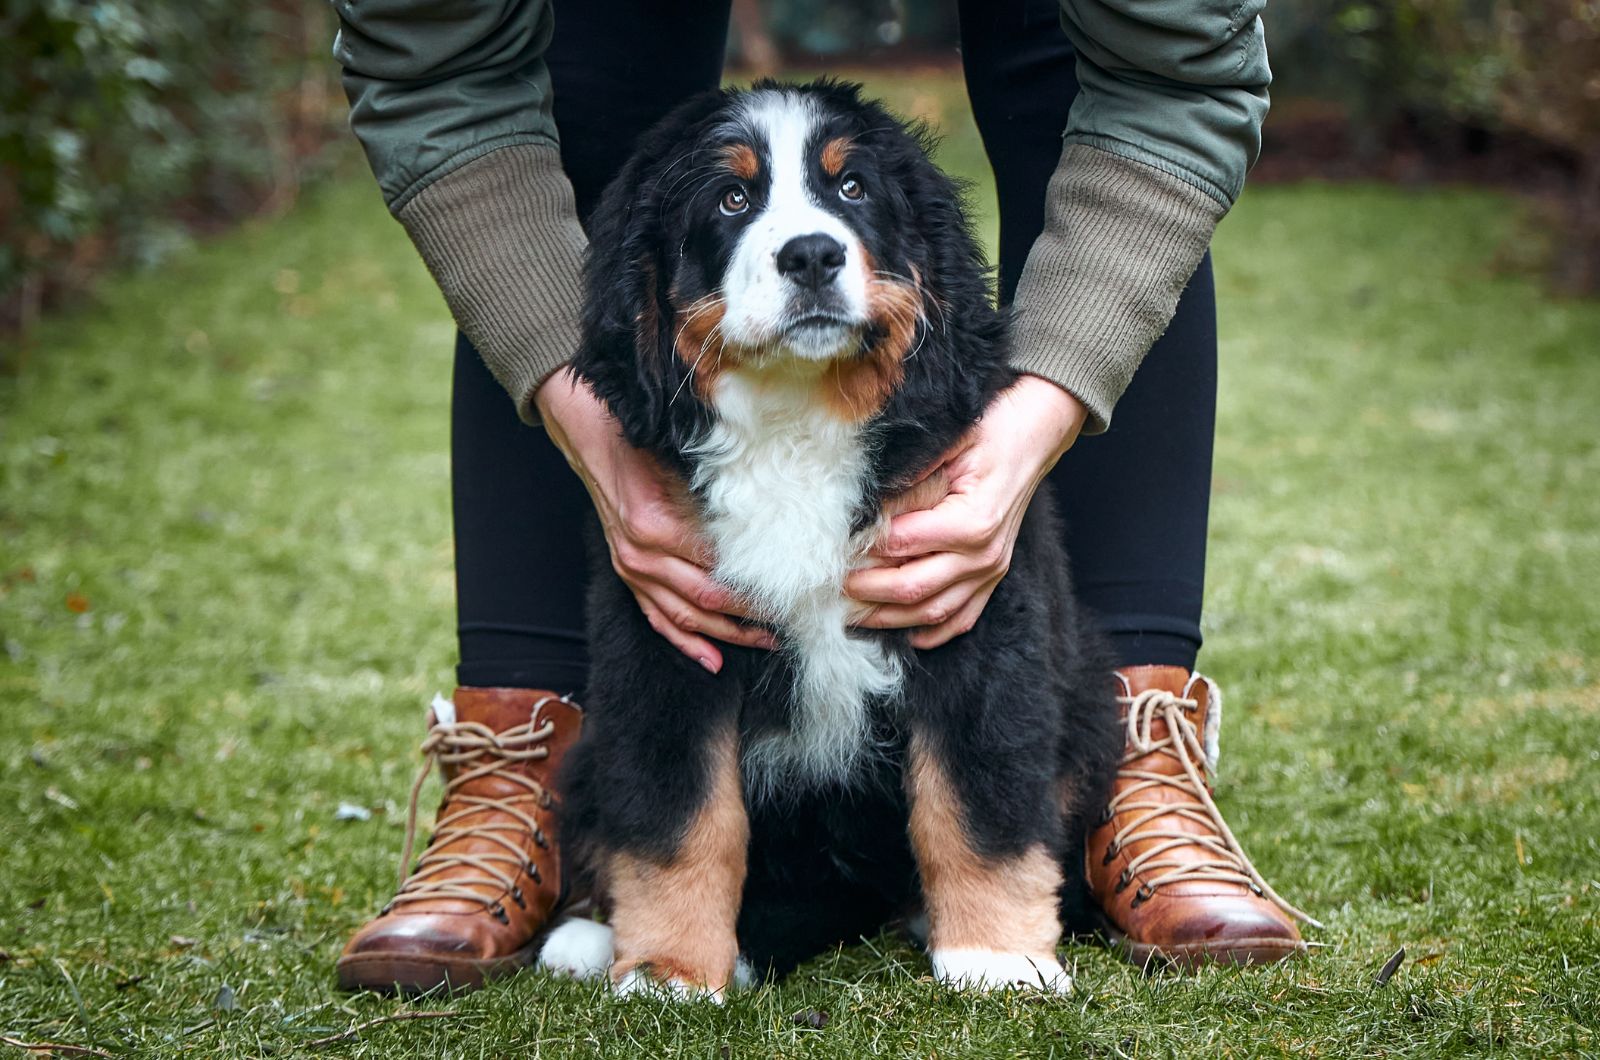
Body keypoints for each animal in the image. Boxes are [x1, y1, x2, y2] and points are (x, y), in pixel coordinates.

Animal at [537, 78, 1113, 999]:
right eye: (732, 200)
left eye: (851, 189)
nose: (811, 255)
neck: (797, 419)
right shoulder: (665, 641)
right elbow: (678, 813)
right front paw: (668, 968)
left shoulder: (972, 618)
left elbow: (976, 801)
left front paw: (995, 959)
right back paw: (596, 937)